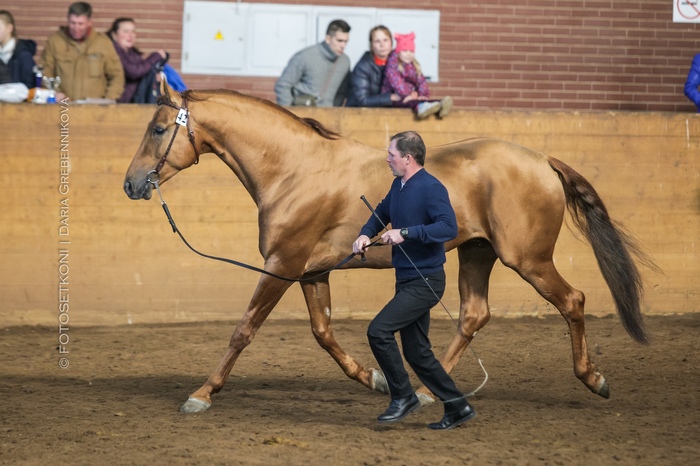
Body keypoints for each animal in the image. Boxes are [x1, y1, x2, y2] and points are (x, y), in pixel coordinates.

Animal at [123, 85, 648, 414]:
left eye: (157, 129)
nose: (131, 184)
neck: (294, 169)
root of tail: (542, 159)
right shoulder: (310, 271)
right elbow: (323, 333)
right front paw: (373, 377)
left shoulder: (281, 264)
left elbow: (243, 330)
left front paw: (202, 394)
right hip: (477, 253)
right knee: (474, 315)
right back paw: (427, 393)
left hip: (529, 260)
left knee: (572, 301)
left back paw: (593, 379)